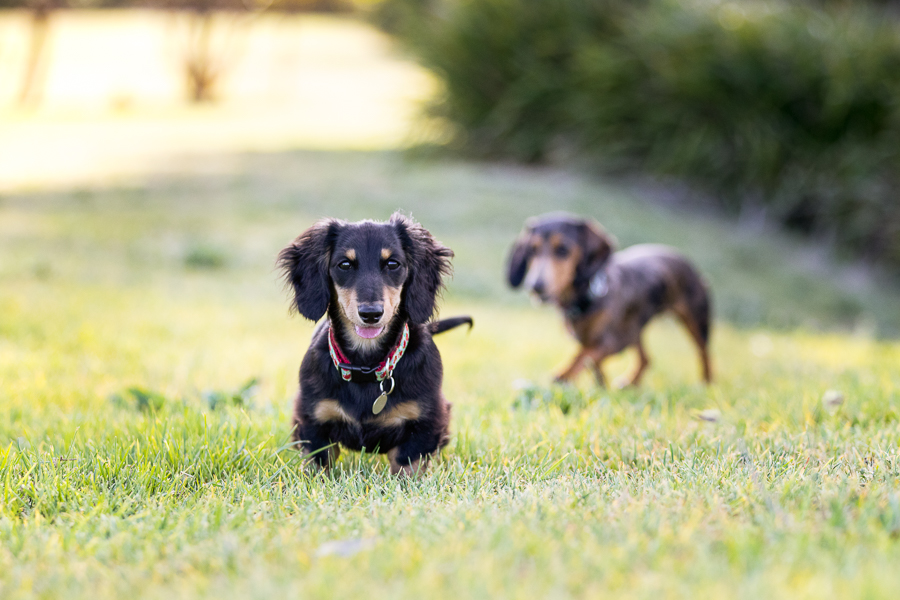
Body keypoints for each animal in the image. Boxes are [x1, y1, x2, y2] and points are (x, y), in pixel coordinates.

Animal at [280, 213, 472, 476]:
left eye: (392, 264)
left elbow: (407, 462)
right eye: (344, 265)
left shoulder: (425, 423)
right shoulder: (312, 419)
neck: (366, 366)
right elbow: (318, 462)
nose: (371, 314)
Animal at [510, 213, 712, 386]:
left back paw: (707, 384)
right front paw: (601, 385)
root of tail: (685, 260)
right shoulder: (595, 339)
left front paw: (564, 374)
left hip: (696, 321)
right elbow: (591, 361)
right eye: (532, 250)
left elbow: (582, 355)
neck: (587, 297)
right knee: (646, 359)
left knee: (704, 353)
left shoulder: (611, 342)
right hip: (634, 329)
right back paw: (631, 383)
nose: (535, 286)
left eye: (562, 249)